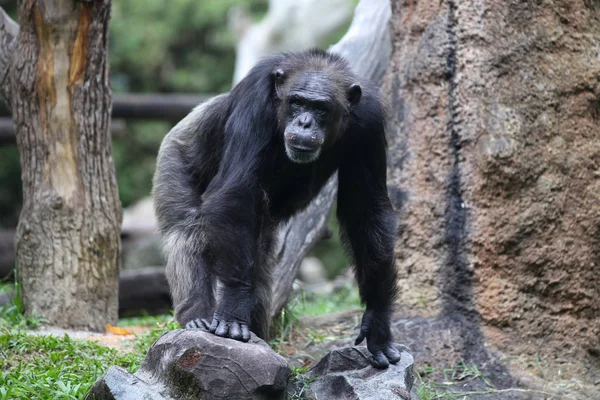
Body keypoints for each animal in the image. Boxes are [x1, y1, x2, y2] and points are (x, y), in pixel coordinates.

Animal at [152, 49, 400, 368]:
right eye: (297, 102)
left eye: (320, 108)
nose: (305, 123)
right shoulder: (255, 97)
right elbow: (237, 190)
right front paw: (232, 309)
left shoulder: (370, 120)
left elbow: (367, 211)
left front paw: (378, 322)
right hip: (174, 155)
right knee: (188, 232)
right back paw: (198, 316)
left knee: (259, 265)